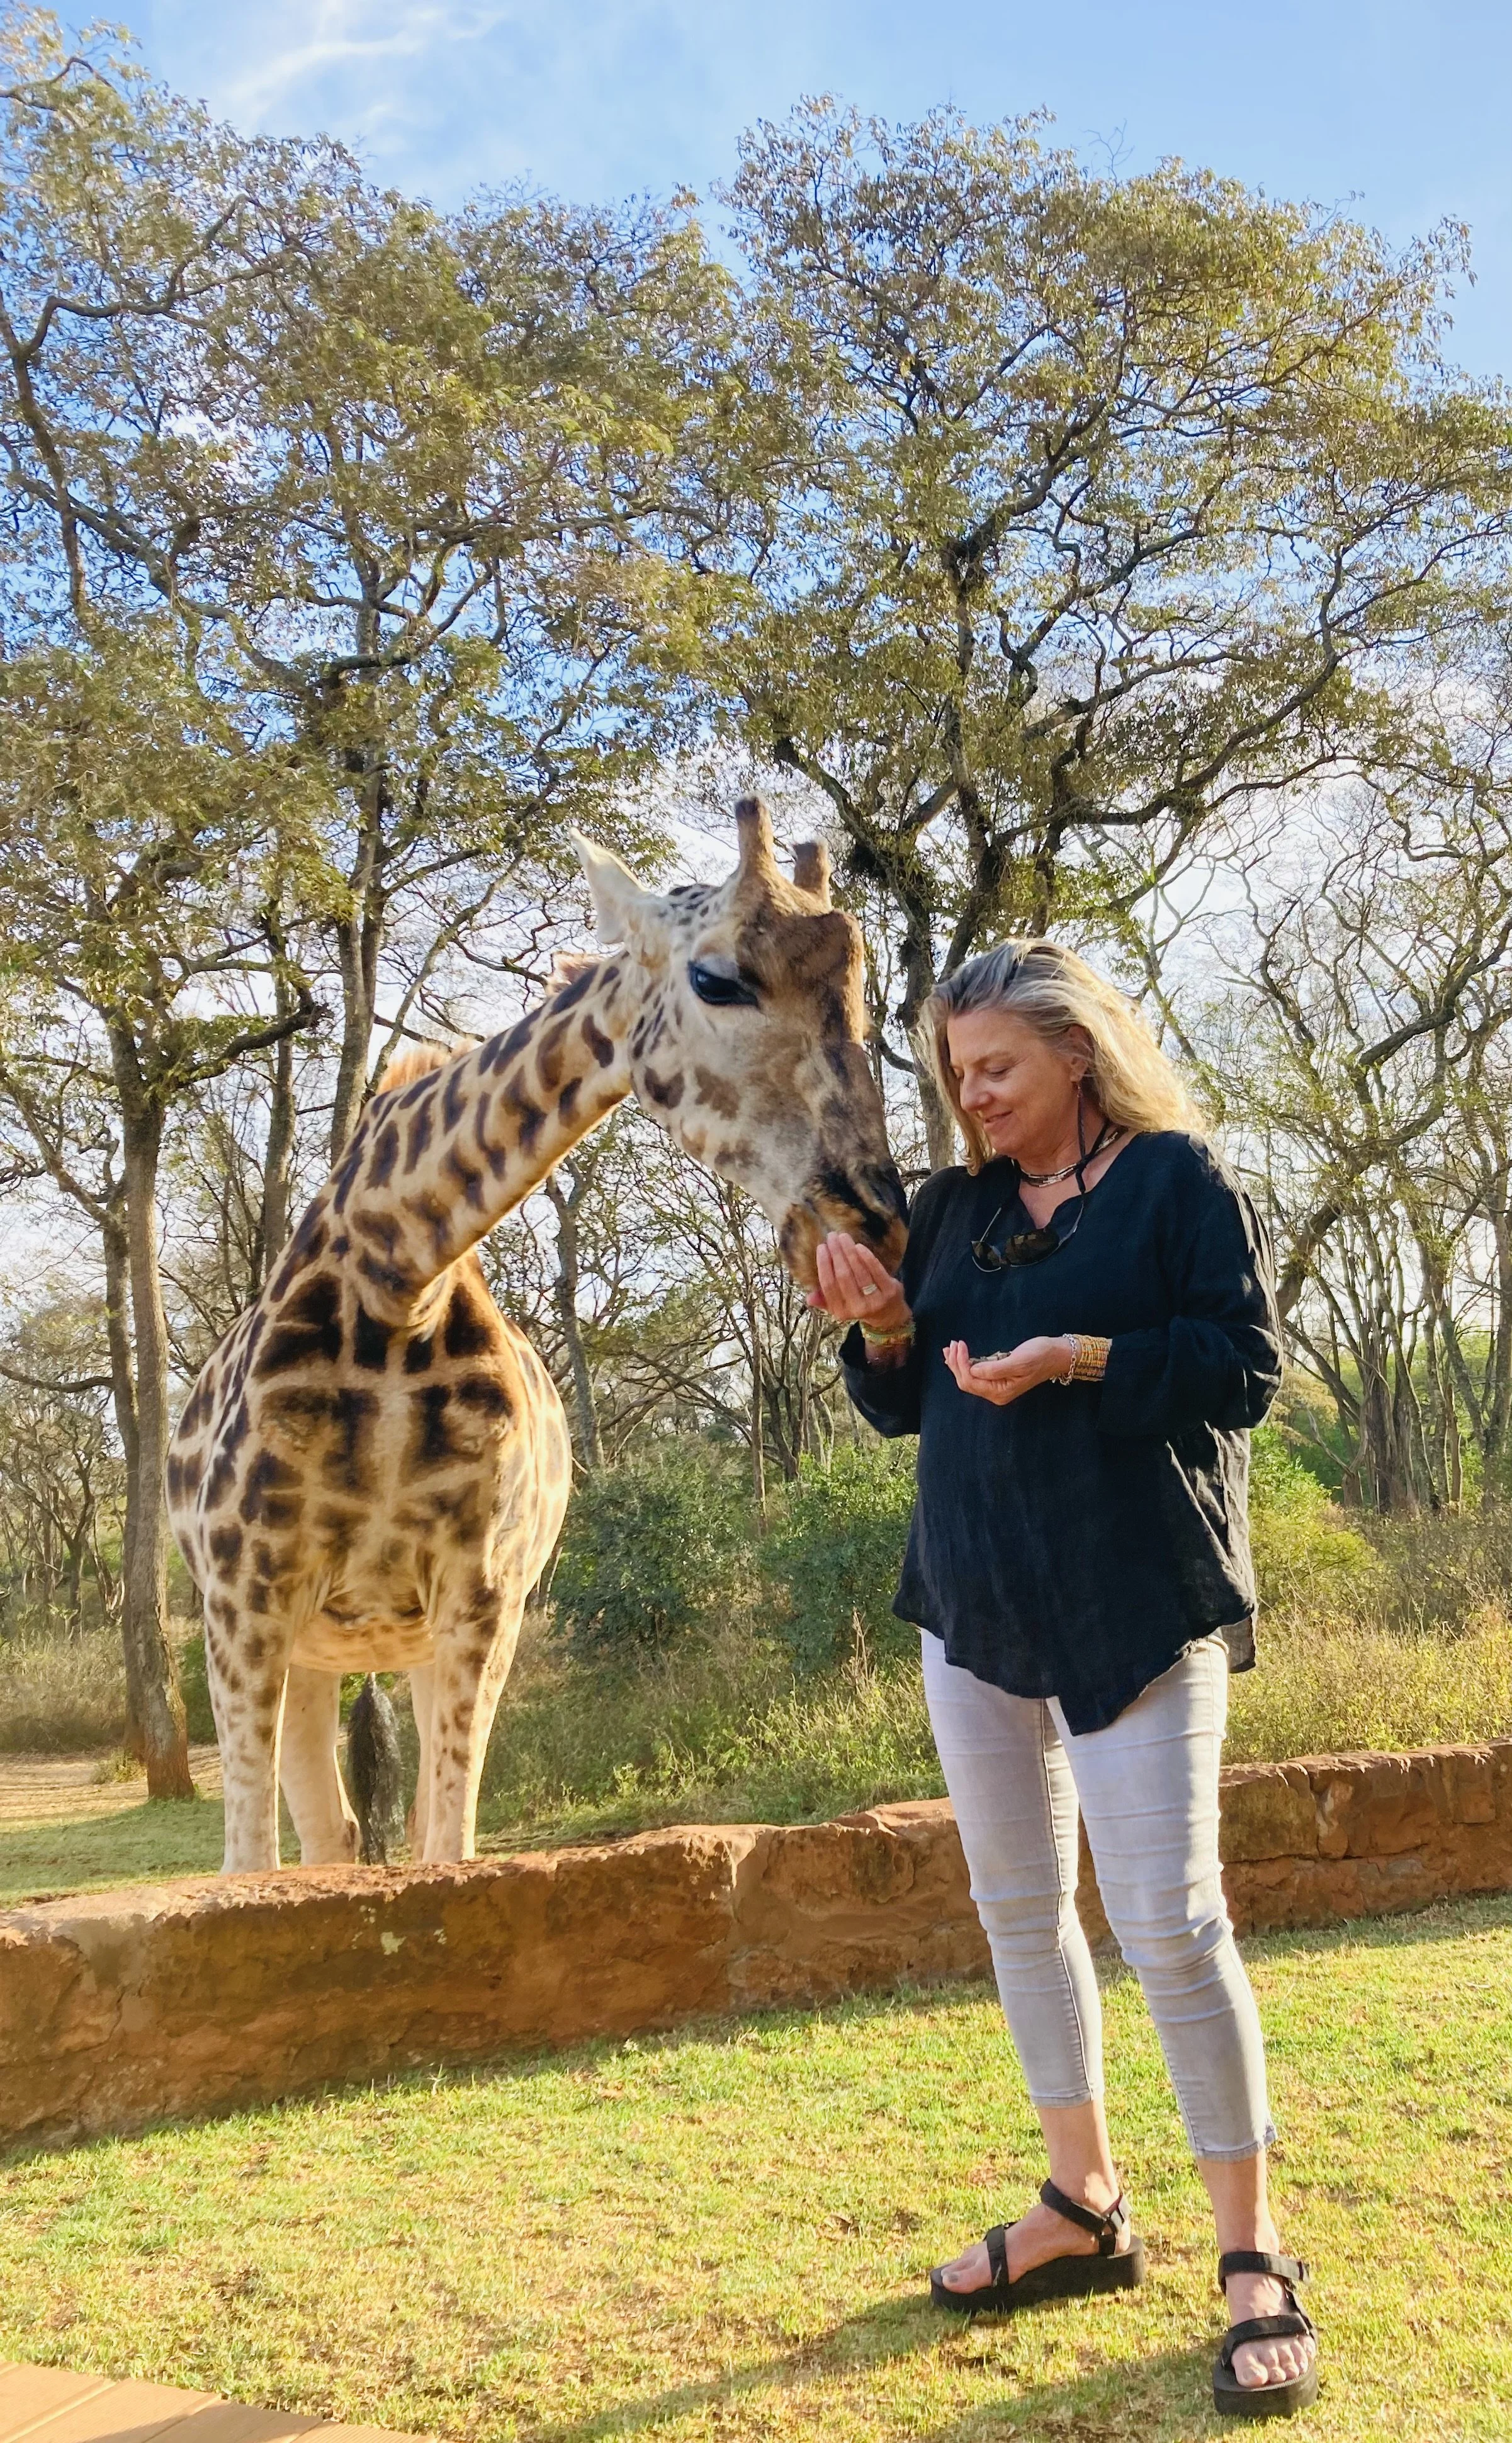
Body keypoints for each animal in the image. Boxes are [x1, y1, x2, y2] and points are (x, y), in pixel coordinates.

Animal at [167, 800, 908, 1873]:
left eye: (859, 989)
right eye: (716, 979)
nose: (871, 1224)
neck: (398, 1282)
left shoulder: (481, 1596)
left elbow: (449, 1849)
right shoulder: (244, 1597)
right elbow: (247, 1868)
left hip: (395, 1640)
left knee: (362, 1827)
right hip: (306, 1642)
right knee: (326, 1837)